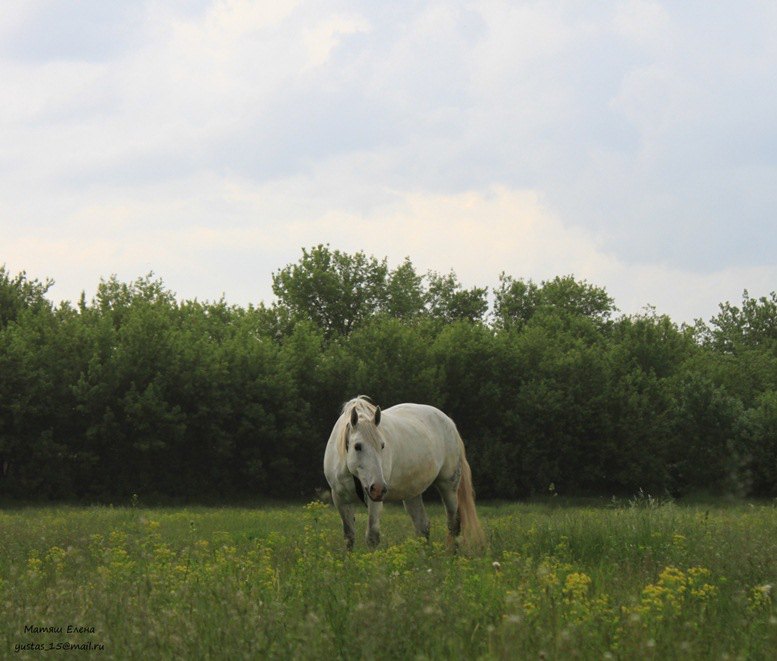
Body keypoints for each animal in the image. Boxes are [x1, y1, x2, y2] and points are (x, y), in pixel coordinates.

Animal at [322, 394, 482, 548]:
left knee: (453, 524)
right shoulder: (340, 500)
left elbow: (372, 537)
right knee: (422, 527)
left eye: (382, 445)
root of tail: (449, 422)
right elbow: (349, 537)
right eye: (357, 446)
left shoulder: (374, 501)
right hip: (412, 493)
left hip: (448, 486)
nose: (378, 488)